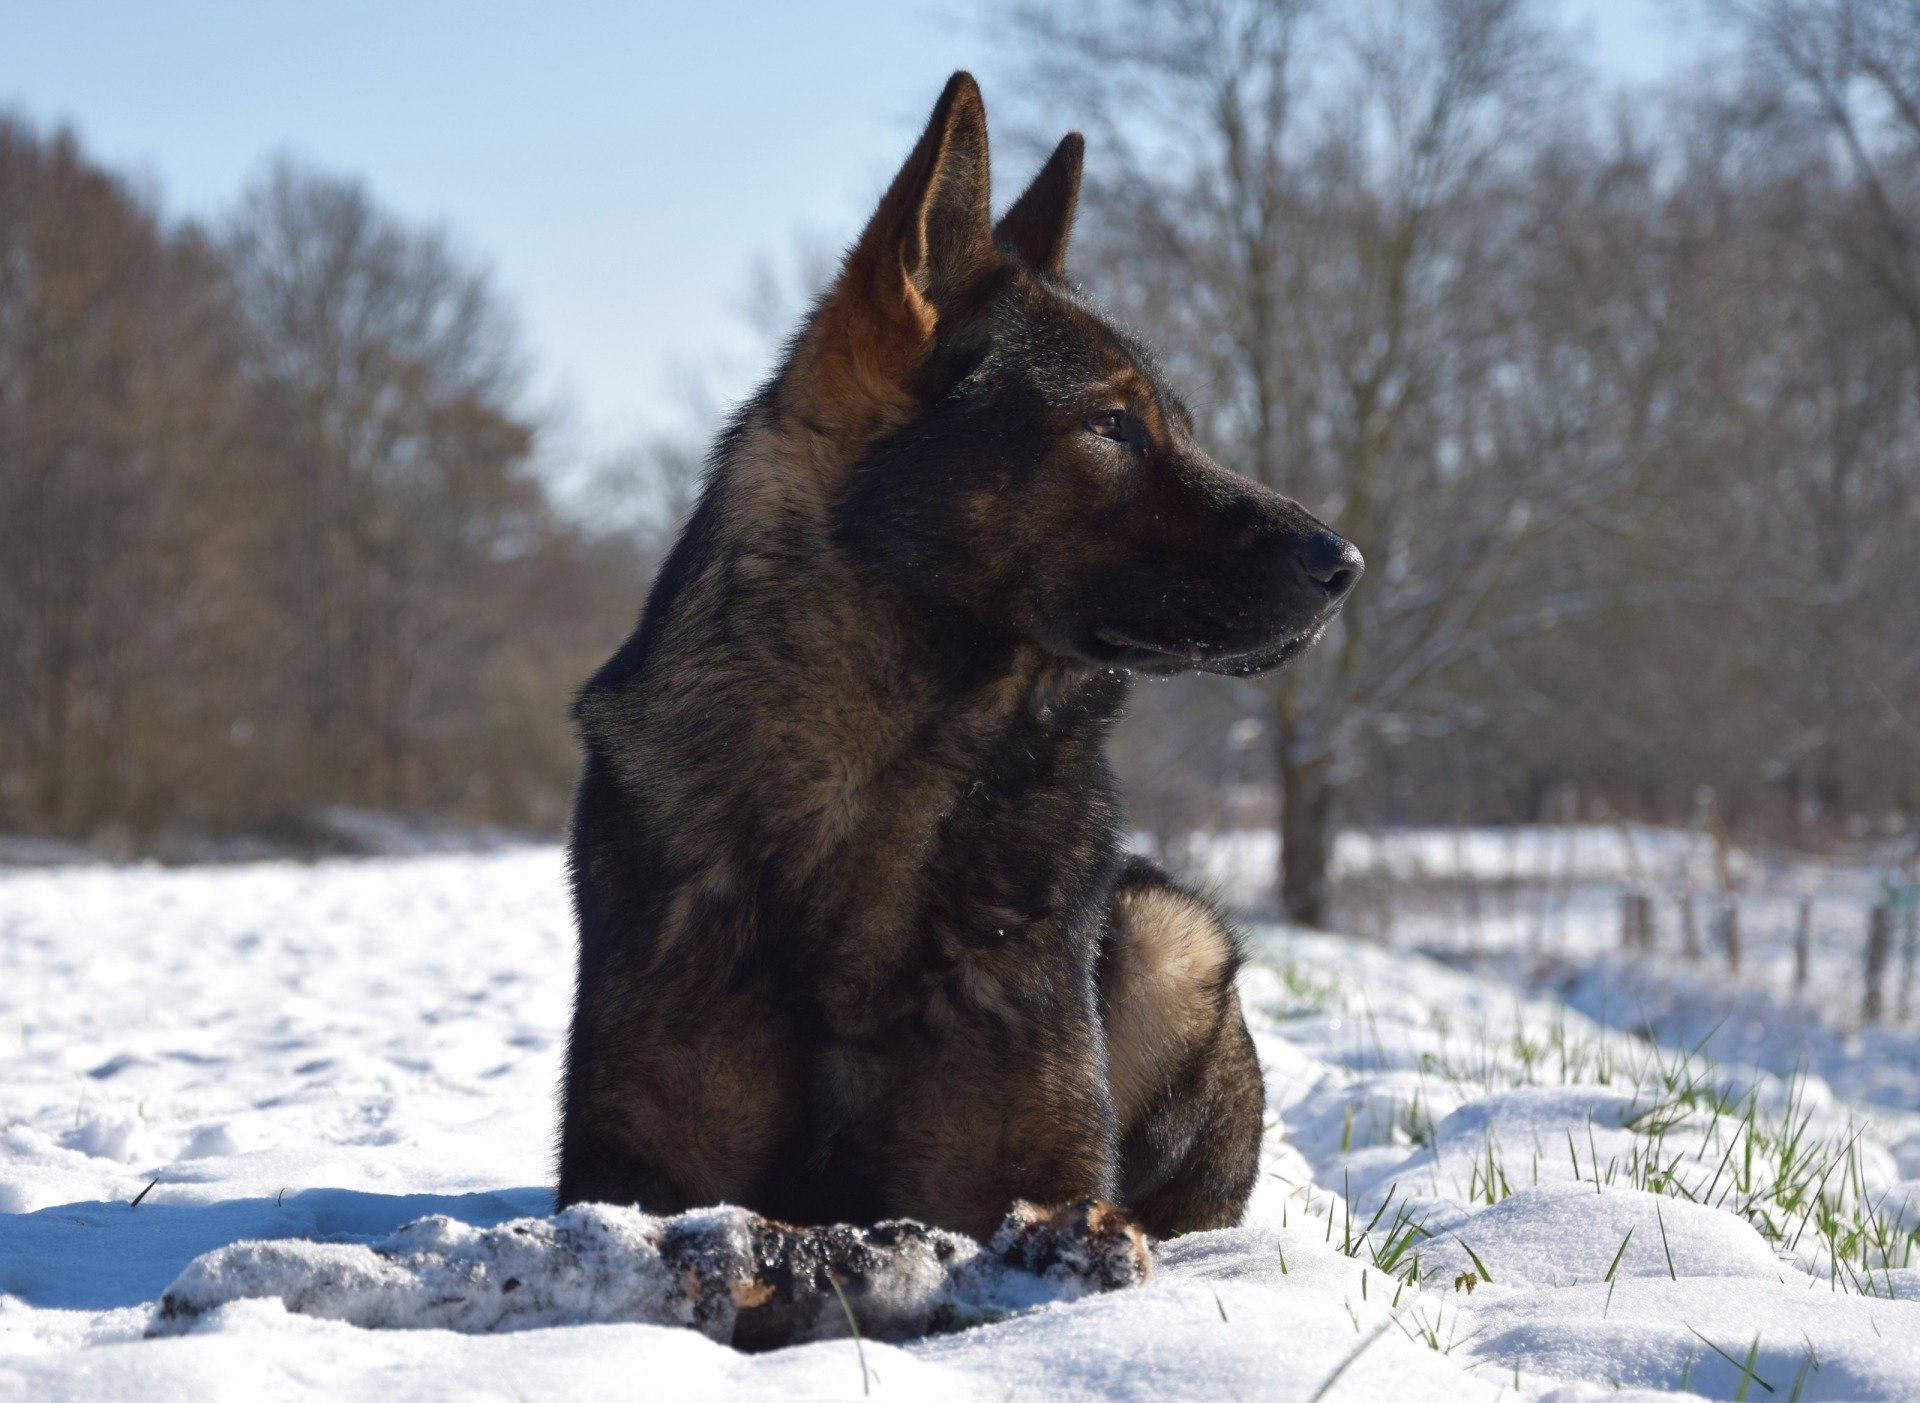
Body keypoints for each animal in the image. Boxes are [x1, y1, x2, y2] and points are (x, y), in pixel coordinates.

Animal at [557, 72, 1361, 1242]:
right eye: (1111, 424)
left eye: (1178, 424)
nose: (1347, 562)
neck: (875, 774)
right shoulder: (631, 1174)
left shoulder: (1030, 1184)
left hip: (1171, 932)